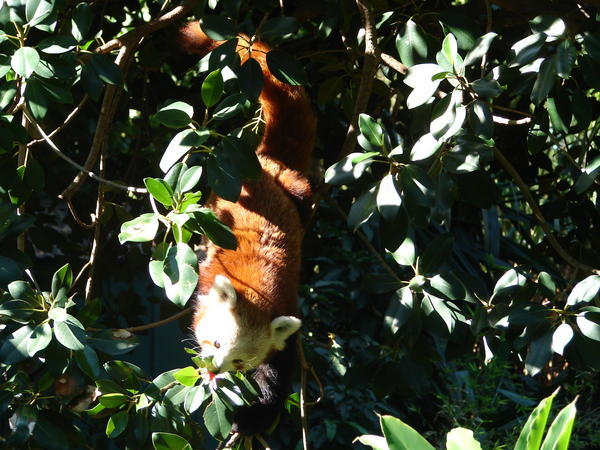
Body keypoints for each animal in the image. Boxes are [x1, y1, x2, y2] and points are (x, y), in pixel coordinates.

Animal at [178, 22, 316, 436]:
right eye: (215, 344)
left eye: (239, 361)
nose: (214, 370)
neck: (257, 290)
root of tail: (263, 163)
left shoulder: (282, 313)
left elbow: (277, 373)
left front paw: (256, 416)